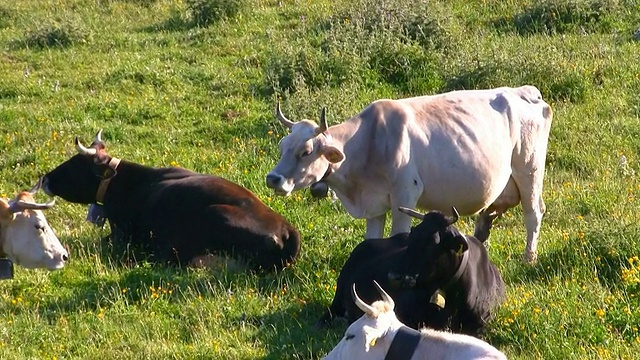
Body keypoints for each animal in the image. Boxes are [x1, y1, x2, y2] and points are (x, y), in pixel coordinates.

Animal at [268, 86, 552, 262]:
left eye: (305, 151)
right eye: (282, 147)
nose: (273, 178)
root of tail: (524, 91)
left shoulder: (405, 195)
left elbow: (398, 236)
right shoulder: (374, 203)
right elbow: (371, 239)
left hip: (529, 170)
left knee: (533, 213)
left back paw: (529, 258)